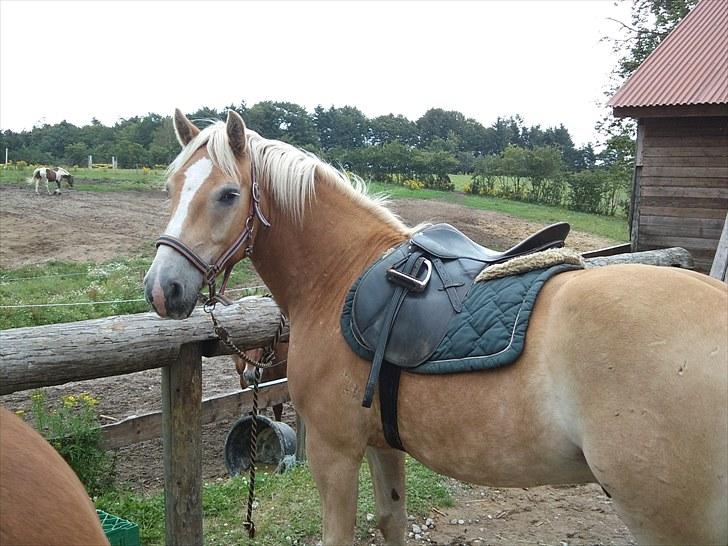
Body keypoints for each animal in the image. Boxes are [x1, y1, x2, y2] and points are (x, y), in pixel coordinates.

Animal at [143, 109, 728, 546]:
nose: (162, 288)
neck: (340, 274)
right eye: (170, 187)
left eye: (227, 195)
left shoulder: (334, 452)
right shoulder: (381, 443)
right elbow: (392, 520)